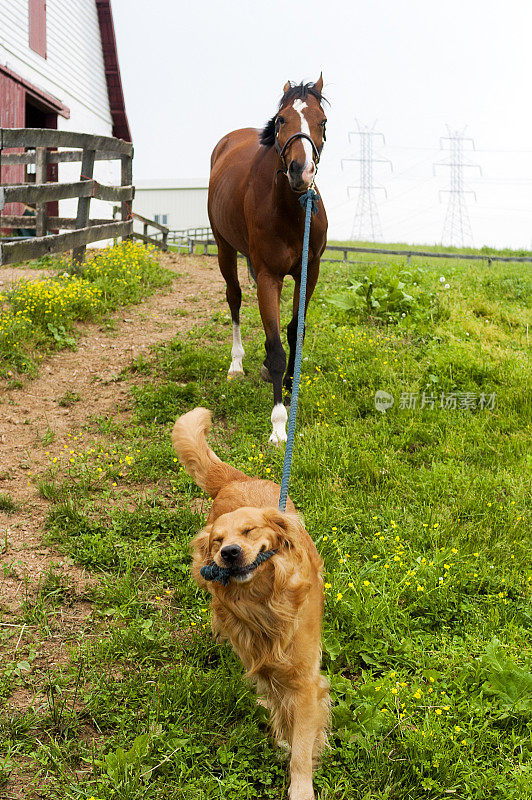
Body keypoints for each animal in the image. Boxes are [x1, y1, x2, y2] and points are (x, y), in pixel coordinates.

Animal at [171, 410, 328, 796]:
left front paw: (301, 787)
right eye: (217, 540)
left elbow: (302, 743)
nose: (228, 553)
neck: (263, 602)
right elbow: (280, 709)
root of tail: (236, 480)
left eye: (249, 531)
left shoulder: (305, 679)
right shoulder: (263, 664)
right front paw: (283, 737)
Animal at [208, 75, 328, 444]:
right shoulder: (267, 277)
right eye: (281, 121)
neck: (289, 210)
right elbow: (276, 349)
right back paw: (237, 364)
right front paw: (278, 424)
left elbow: (294, 332)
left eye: (322, 122)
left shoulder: (309, 272)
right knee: (234, 298)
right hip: (224, 248)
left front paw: (290, 386)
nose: (301, 171)